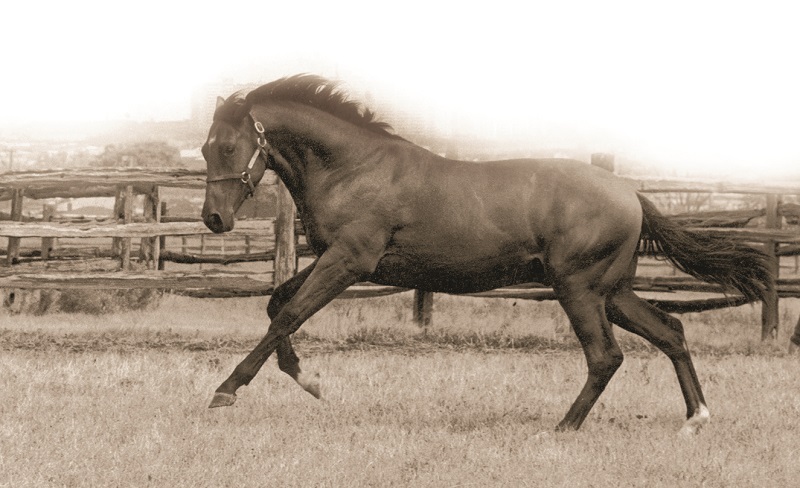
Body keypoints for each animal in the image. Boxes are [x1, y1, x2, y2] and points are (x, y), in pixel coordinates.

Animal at [201, 74, 774, 435]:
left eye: (228, 147)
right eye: (205, 148)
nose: (214, 220)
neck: (352, 168)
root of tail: (631, 194)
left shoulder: (349, 262)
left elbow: (289, 315)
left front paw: (225, 392)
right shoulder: (332, 259)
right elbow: (277, 305)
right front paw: (312, 382)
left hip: (579, 289)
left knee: (606, 356)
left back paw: (563, 427)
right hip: (612, 291)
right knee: (670, 331)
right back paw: (696, 419)